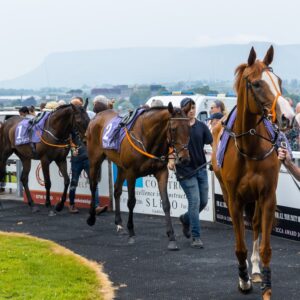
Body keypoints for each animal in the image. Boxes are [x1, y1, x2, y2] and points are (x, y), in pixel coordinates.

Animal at [85, 104, 191, 250]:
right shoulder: (131, 173)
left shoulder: (161, 172)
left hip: (120, 165)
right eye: (174, 129)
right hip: (95, 159)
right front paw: (131, 232)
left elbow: (166, 203)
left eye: (189, 127)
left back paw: (119, 223)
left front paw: (171, 237)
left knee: (117, 190)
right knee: (93, 185)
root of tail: (97, 116)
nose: (184, 159)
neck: (147, 138)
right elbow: (131, 202)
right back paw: (91, 218)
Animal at [211, 45, 296, 298]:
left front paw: (265, 284)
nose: (288, 117)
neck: (249, 148)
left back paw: (256, 270)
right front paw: (243, 280)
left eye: (279, 81)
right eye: (257, 84)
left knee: (257, 224)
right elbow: (239, 246)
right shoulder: (234, 200)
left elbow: (265, 244)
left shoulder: (267, 195)